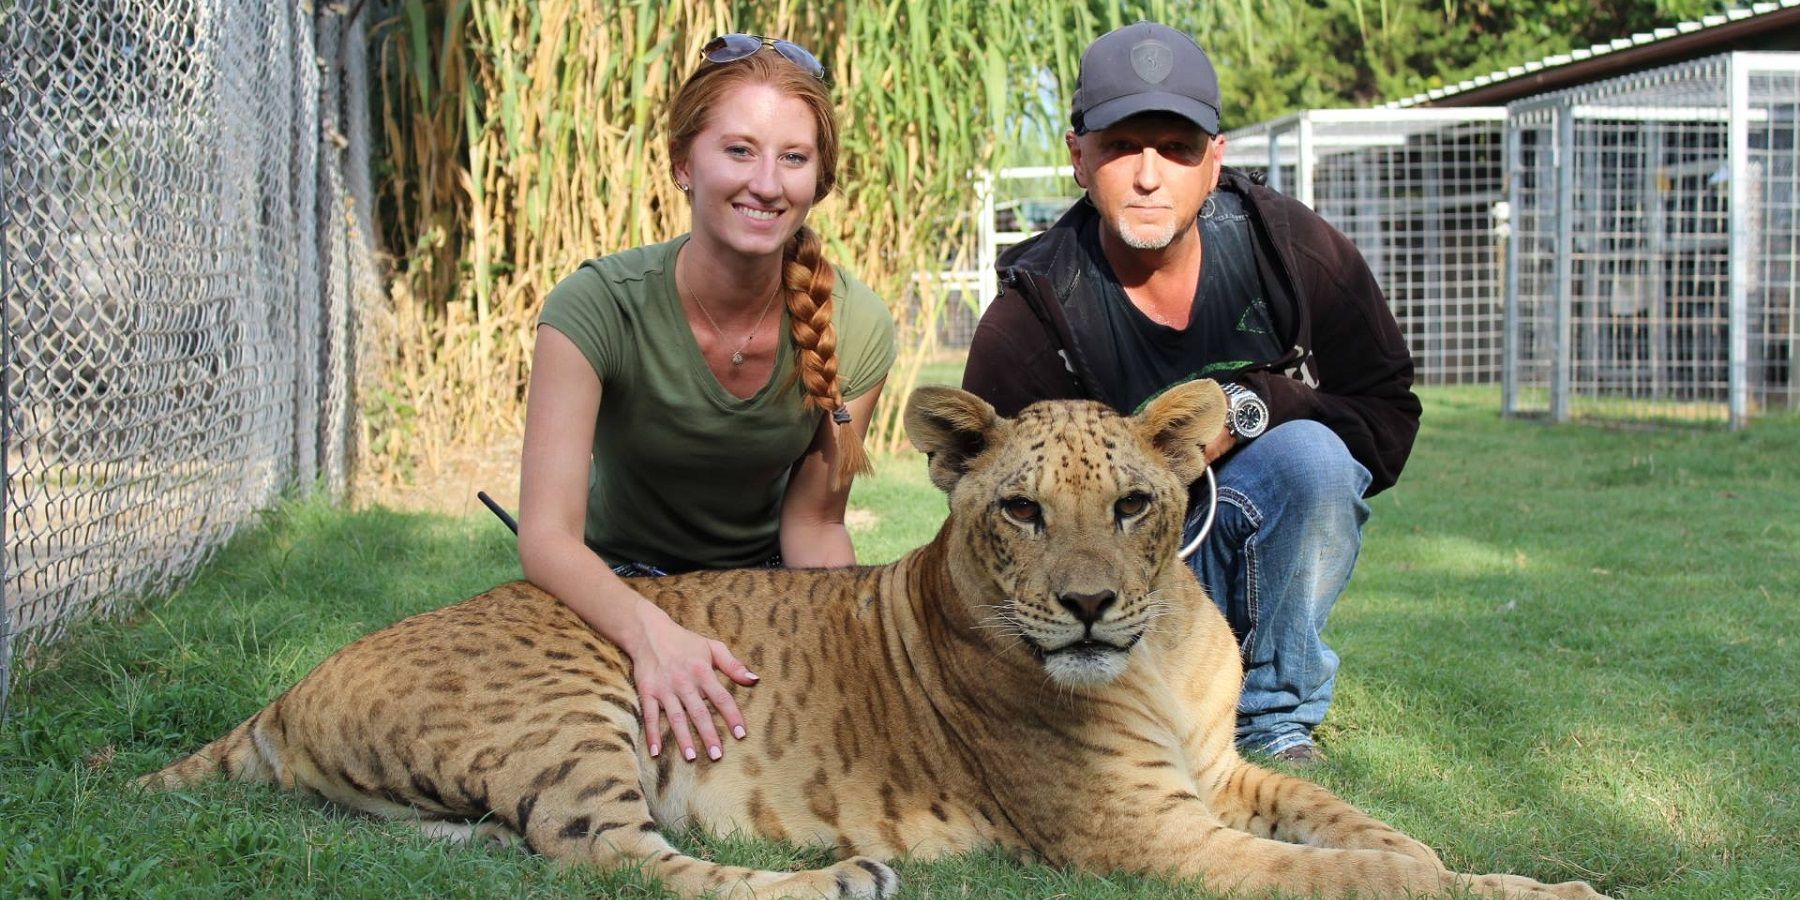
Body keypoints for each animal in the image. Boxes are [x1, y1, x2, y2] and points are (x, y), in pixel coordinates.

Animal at [141, 381, 1607, 899]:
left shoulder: (1218, 772)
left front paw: (1429, 843)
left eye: (1135, 507)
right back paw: (842, 881)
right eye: (1021, 511)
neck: (1155, 656)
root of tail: (286, 691)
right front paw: (1536, 891)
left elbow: (1350, 819)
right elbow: (1355, 875)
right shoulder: (1145, 835)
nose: (1088, 606)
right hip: (579, 704)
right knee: (626, 866)